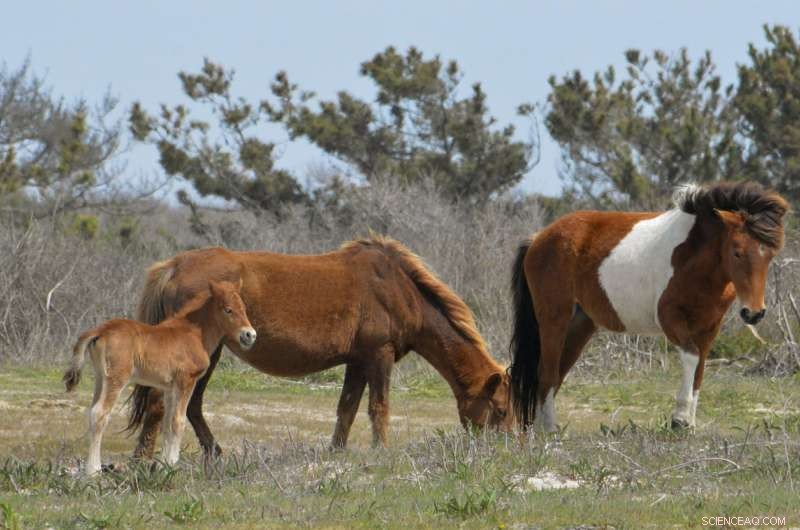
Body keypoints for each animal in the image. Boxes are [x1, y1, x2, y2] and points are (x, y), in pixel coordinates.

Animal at [63, 280, 256, 475]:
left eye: (244, 308)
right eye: (228, 309)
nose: (250, 335)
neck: (194, 332)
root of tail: (101, 330)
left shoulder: (170, 388)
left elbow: (168, 423)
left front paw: (164, 465)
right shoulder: (186, 381)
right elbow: (178, 421)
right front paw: (172, 464)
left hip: (100, 378)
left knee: (92, 411)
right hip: (116, 379)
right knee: (100, 413)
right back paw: (93, 470)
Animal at [126, 235, 512, 458]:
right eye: (502, 409)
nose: (505, 448)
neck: (399, 288)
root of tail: (174, 266)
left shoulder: (358, 361)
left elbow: (347, 409)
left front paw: (336, 452)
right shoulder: (380, 356)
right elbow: (379, 407)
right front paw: (381, 452)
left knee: (188, 407)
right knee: (163, 404)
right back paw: (145, 461)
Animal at [509, 181, 788, 432]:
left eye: (771, 254)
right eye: (737, 252)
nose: (754, 313)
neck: (693, 257)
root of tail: (538, 237)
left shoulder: (709, 327)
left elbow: (699, 369)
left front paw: (690, 423)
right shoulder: (671, 320)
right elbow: (691, 356)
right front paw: (679, 419)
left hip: (580, 325)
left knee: (556, 373)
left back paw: (541, 427)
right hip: (554, 319)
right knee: (546, 372)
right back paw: (549, 430)